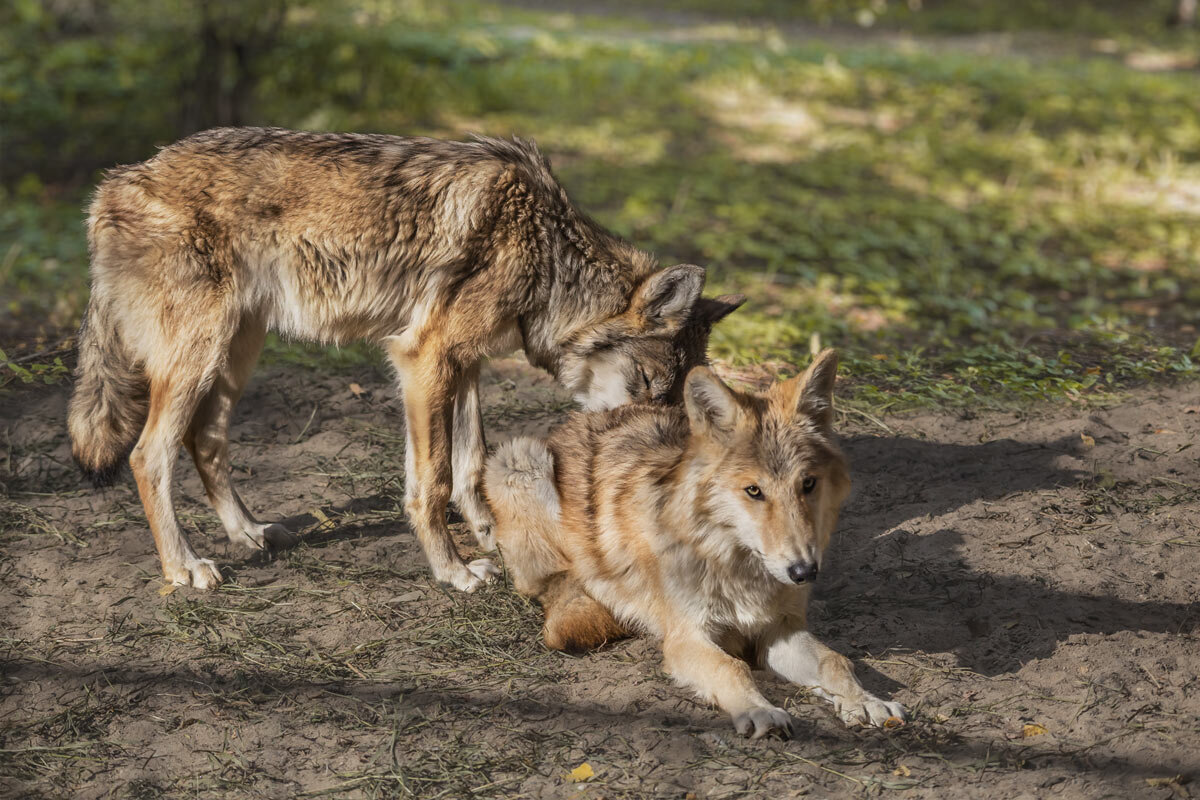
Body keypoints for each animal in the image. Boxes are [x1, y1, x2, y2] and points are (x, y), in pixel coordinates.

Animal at [67, 127, 743, 593]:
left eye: (670, 395)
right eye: (649, 382)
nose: (652, 453)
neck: (549, 256)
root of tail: (111, 184)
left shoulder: (464, 364)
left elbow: (472, 464)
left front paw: (491, 537)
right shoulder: (423, 358)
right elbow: (434, 480)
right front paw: (454, 571)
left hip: (235, 354)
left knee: (205, 441)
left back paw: (249, 534)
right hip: (200, 358)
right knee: (148, 456)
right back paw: (184, 568)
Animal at [486, 350, 907, 738]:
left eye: (808, 484)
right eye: (754, 491)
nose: (804, 572)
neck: (733, 564)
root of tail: (585, 416)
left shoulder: (779, 630)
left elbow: (834, 661)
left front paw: (866, 701)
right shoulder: (688, 637)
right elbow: (732, 667)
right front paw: (760, 710)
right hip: (519, 459)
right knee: (553, 588)